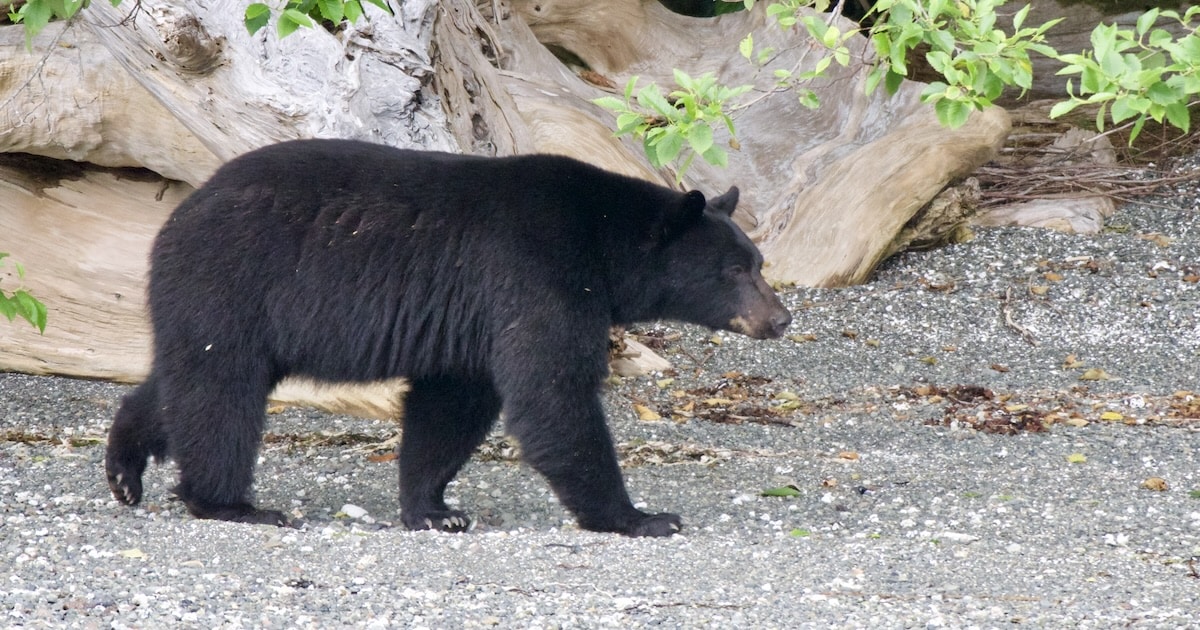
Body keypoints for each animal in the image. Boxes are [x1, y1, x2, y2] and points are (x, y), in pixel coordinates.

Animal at [105, 139, 792, 537]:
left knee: (184, 378)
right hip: (237, 278)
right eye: (735, 271)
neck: (602, 241)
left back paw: (125, 469)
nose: (780, 318)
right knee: (221, 390)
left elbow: (453, 403)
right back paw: (231, 503)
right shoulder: (535, 271)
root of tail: (184, 209)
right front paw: (639, 516)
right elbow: (552, 393)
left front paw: (434, 508)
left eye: (759, 262)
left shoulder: (472, 319)